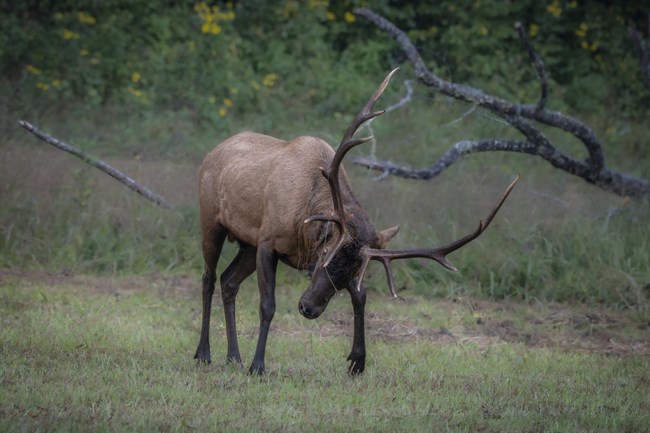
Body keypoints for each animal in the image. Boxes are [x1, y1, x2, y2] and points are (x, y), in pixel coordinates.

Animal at [193, 69, 518, 375]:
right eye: (324, 254)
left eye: (347, 273)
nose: (307, 308)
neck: (306, 221)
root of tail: (211, 152)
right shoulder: (268, 242)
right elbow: (267, 304)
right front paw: (258, 366)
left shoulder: (338, 254)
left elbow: (361, 298)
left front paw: (357, 362)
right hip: (211, 222)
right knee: (208, 278)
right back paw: (204, 354)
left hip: (246, 243)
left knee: (228, 281)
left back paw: (233, 356)